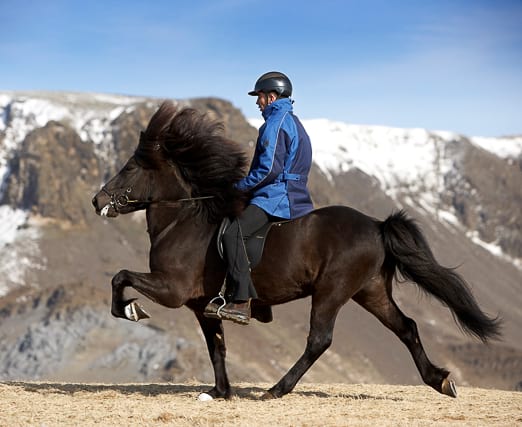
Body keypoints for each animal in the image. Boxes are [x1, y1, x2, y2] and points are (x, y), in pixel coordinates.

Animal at [92, 100, 500, 402]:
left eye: (130, 167)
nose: (97, 201)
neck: (185, 218)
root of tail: (377, 226)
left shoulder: (172, 289)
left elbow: (120, 277)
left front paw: (131, 310)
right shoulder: (200, 304)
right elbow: (216, 347)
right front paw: (220, 392)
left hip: (332, 290)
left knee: (320, 340)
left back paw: (277, 389)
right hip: (369, 291)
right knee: (406, 327)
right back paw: (440, 381)